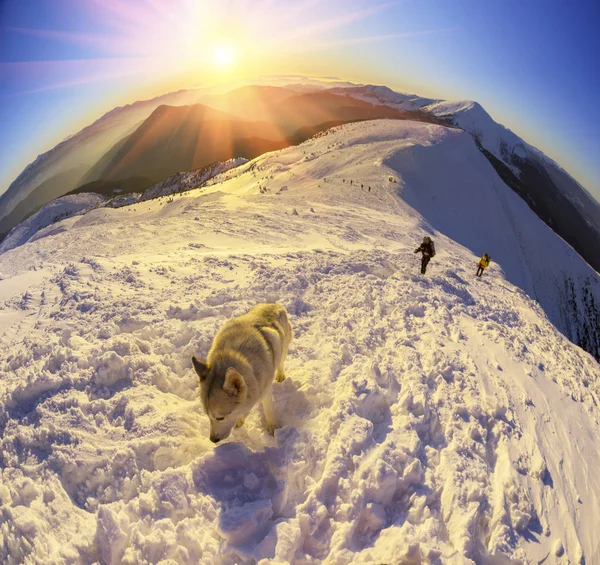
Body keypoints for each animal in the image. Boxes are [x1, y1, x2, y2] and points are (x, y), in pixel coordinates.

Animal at [192, 302, 292, 442]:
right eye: (207, 415)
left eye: (220, 418)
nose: (213, 440)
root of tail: (273, 303)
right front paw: (240, 420)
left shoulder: (265, 390)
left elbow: (269, 410)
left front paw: (272, 428)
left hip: (281, 347)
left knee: (281, 362)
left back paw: (280, 376)